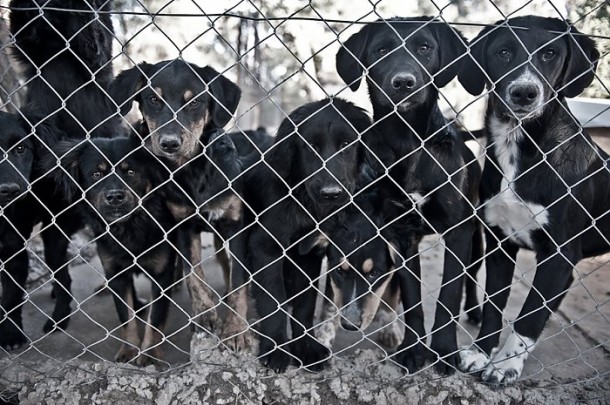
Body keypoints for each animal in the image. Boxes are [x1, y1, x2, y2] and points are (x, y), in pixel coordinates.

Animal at [109, 60, 242, 336]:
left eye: (195, 102)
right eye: (153, 99)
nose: (169, 144)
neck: (193, 170)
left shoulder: (235, 224)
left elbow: (238, 282)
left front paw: (236, 330)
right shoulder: (183, 225)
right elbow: (194, 273)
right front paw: (204, 313)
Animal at [334, 18, 482, 372]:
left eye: (424, 47)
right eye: (381, 50)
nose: (404, 82)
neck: (408, 141)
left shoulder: (459, 231)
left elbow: (448, 294)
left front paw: (444, 352)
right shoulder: (401, 235)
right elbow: (413, 299)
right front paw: (413, 350)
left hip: (479, 232)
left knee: (472, 275)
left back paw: (475, 310)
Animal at [456, 15, 604, 382]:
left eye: (550, 54)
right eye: (503, 52)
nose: (524, 92)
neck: (520, 145)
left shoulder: (560, 256)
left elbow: (529, 315)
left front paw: (504, 365)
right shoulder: (500, 243)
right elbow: (494, 306)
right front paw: (481, 353)